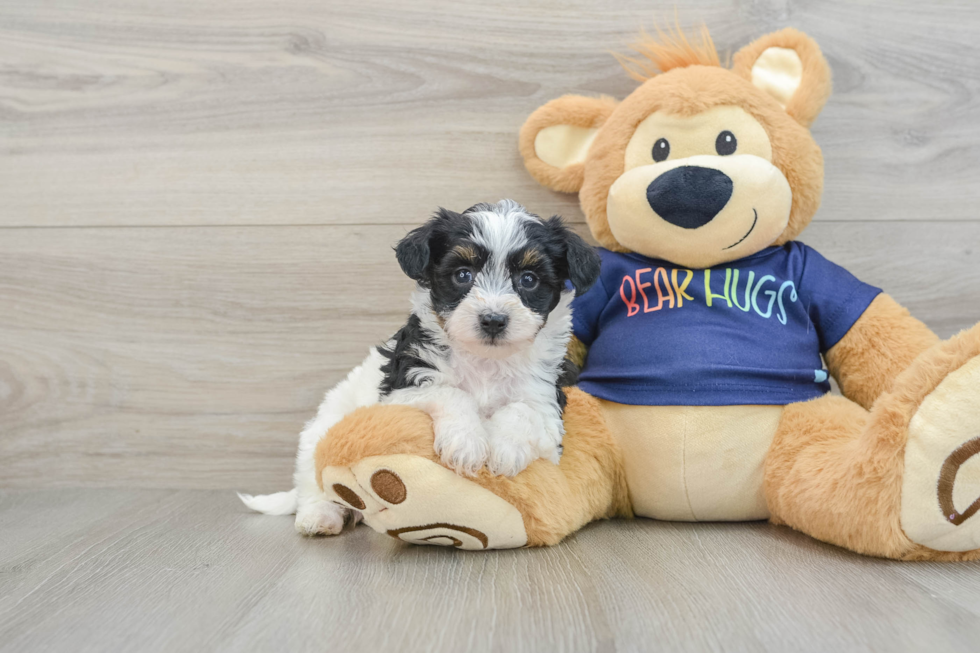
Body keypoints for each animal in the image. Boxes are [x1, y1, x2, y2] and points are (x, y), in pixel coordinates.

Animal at [241, 200, 600, 536]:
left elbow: (522, 409)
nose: (493, 320)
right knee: (313, 482)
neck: (484, 360)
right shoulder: (403, 388)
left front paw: (505, 449)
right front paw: (467, 443)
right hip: (320, 433)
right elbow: (452, 393)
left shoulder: (546, 396)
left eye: (528, 279)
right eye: (462, 274)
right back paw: (322, 515)